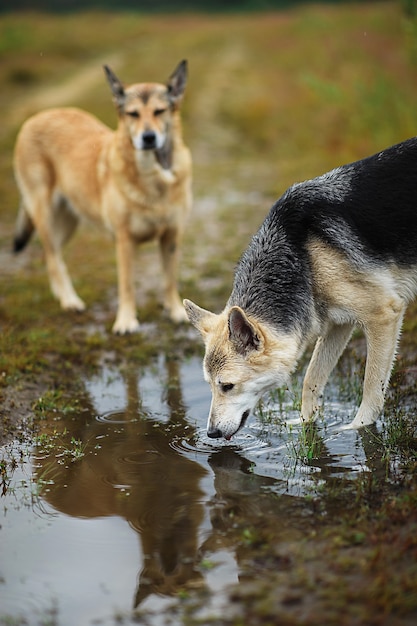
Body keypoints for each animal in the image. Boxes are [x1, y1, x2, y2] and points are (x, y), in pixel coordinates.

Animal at [12, 59, 192, 332]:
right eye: (133, 114)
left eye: (160, 111)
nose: (148, 138)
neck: (153, 177)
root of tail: (35, 117)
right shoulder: (124, 240)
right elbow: (127, 284)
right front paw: (126, 321)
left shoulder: (172, 235)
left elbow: (169, 279)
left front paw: (175, 311)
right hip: (45, 215)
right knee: (53, 259)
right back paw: (70, 300)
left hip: (67, 223)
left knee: (52, 256)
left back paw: (61, 295)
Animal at [184, 139, 416, 436]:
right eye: (210, 385)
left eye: (227, 386)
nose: (211, 433)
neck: (301, 256)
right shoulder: (338, 325)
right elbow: (311, 380)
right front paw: (306, 425)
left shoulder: (383, 315)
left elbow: (371, 385)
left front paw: (358, 428)